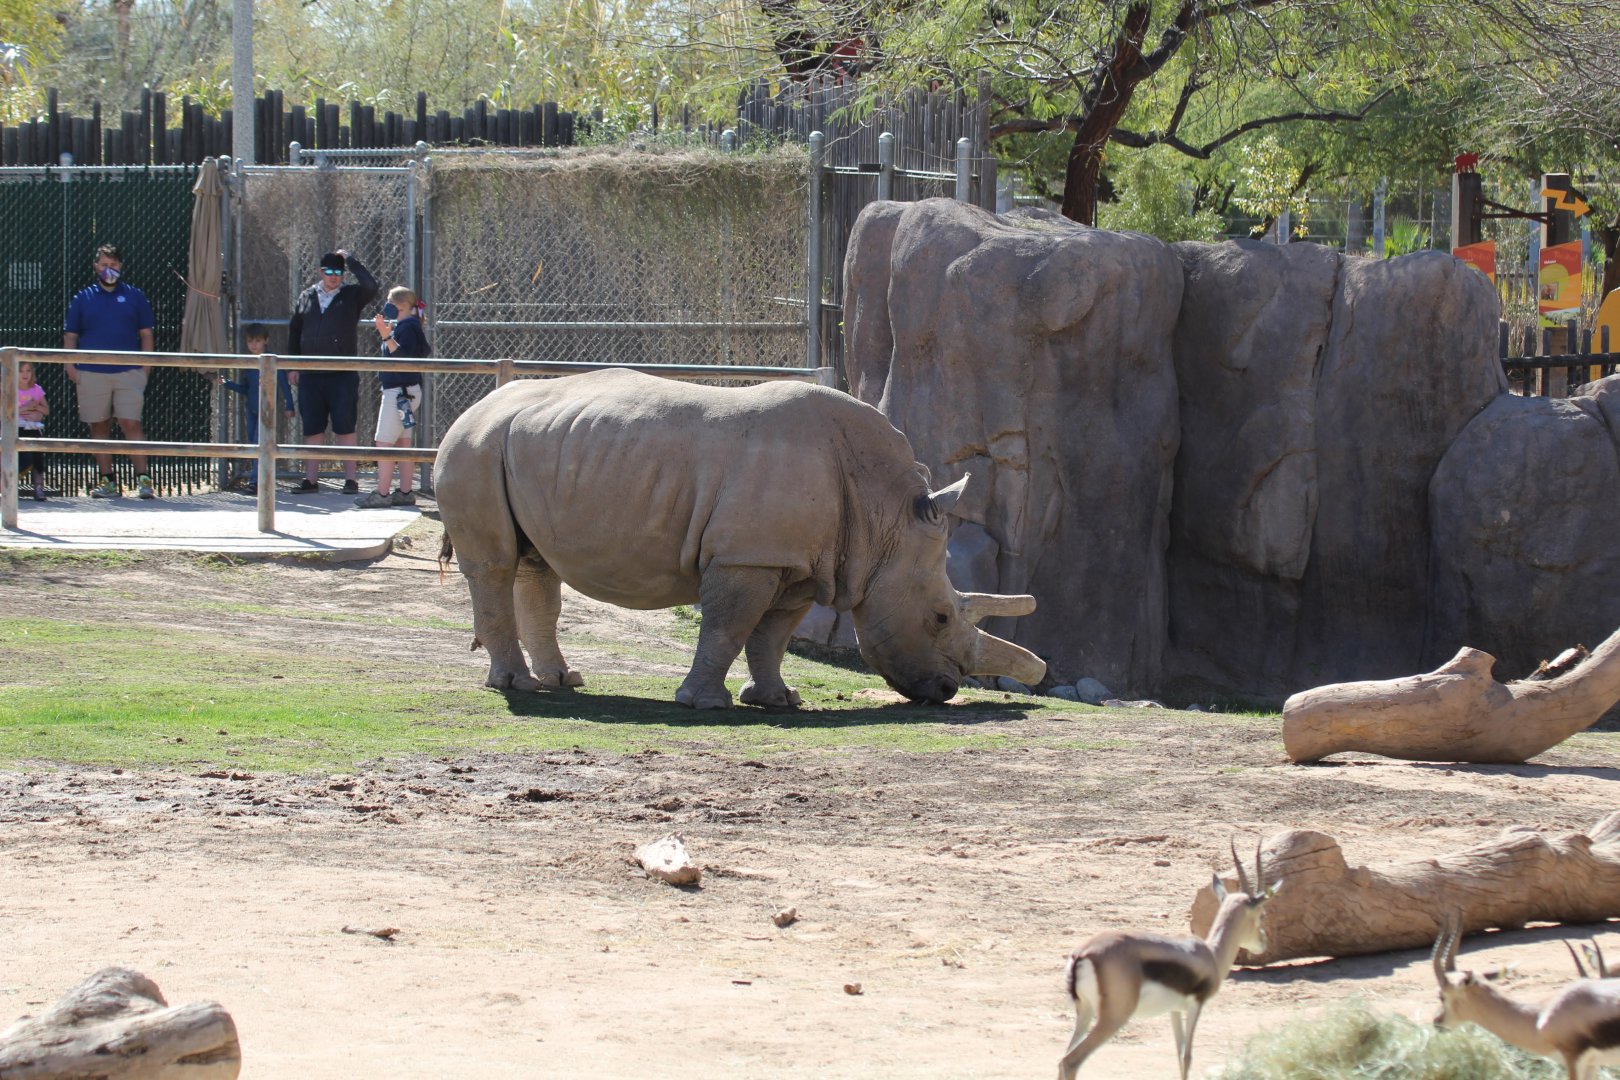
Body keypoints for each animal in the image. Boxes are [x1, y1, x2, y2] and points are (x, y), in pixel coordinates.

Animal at [434, 368, 1046, 708]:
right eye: (939, 616)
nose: (946, 690)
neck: (886, 518)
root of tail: (473, 406)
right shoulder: (746, 557)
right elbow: (729, 627)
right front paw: (705, 705)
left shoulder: (801, 563)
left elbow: (772, 636)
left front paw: (778, 701)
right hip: (473, 447)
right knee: (493, 565)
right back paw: (516, 688)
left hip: (531, 446)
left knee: (536, 564)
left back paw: (563, 682)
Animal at [1058, 841, 1276, 1080]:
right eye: (1262, 914)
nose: (1264, 942)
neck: (1211, 954)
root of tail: (1082, 954)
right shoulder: (1196, 1005)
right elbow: (1187, 1057)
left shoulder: (1175, 1010)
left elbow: (1179, 1055)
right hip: (1113, 1017)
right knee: (1070, 1061)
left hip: (1085, 1012)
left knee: (1062, 1058)